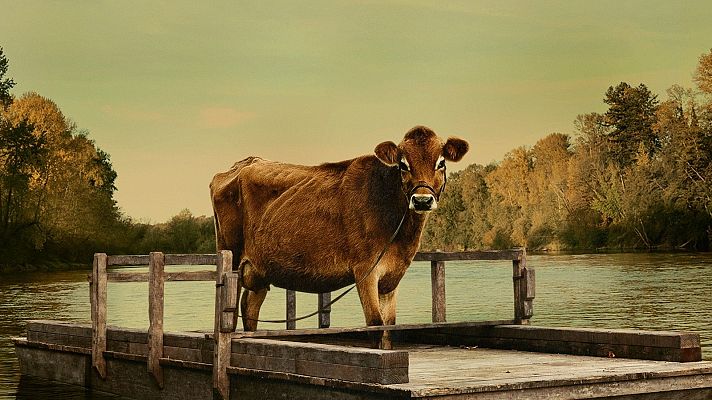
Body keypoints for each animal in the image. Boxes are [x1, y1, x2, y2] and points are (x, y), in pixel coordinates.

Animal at [210, 126, 469, 348]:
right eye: (403, 165)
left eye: (441, 163)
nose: (422, 200)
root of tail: (243, 164)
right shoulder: (366, 270)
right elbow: (375, 325)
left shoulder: (391, 278)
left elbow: (389, 328)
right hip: (232, 257)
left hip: (260, 270)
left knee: (250, 307)